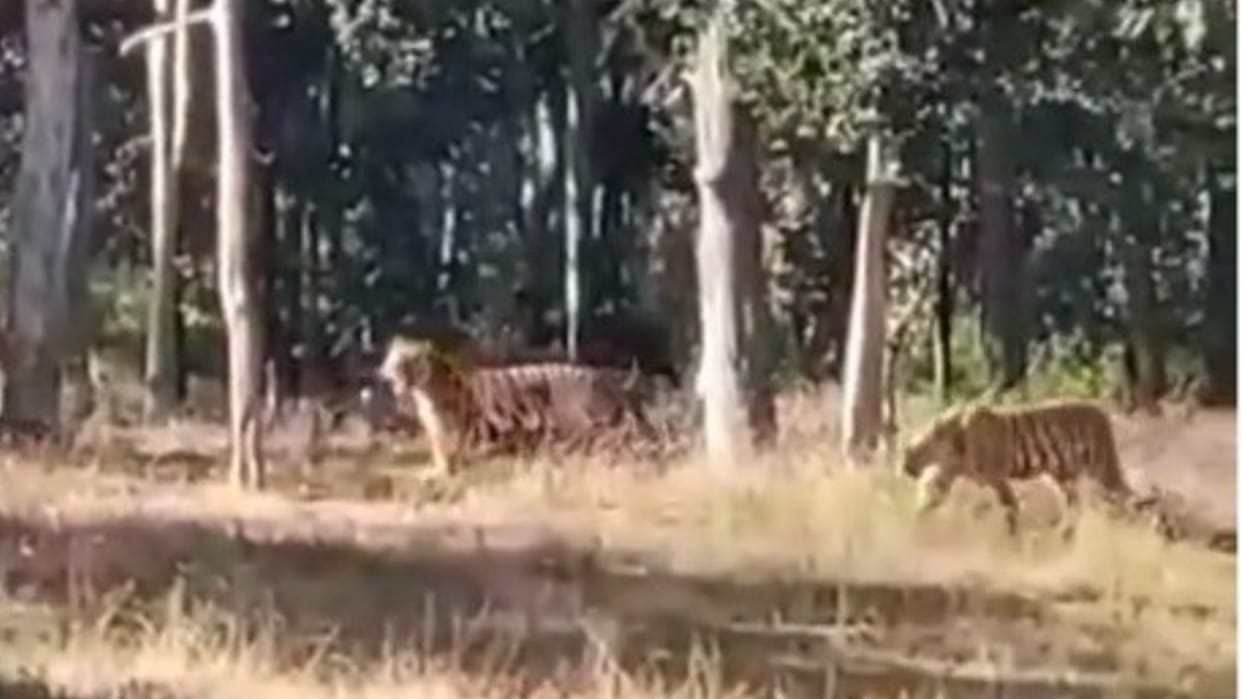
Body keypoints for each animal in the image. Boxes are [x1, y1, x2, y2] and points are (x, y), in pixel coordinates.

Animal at [377, 335, 665, 478]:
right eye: (394, 357)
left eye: (409, 360)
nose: (390, 372)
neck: (421, 390)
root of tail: (599, 377)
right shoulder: (436, 431)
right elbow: (438, 453)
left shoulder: (451, 432)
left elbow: (445, 456)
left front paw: (434, 472)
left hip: (581, 420)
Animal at [900, 399, 1156, 538]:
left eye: (910, 452)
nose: (905, 468)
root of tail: (1102, 413)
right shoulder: (950, 473)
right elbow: (929, 500)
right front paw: (914, 525)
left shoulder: (996, 476)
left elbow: (1010, 507)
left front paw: (1013, 539)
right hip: (1064, 477)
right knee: (1077, 507)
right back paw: (1065, 536)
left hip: (1102, 466)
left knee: (1126, 499)